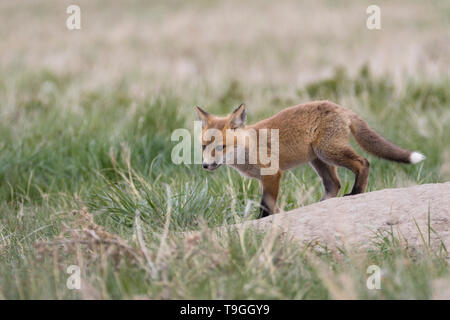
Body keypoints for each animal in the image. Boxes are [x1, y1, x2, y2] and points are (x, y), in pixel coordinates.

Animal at [197, 101, 426, 219]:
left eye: (221, 147)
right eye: (203, 146)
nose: (205, 166)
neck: (249, 147)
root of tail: (339, 106)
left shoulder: (272, 174)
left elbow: (266, 206)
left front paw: (262, 222)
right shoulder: (264, 179)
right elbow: (271, 206)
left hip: (328, 151)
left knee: (363, 163)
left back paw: (356, 193)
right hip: (318, 160)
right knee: (334, 184)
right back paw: (322, 204)